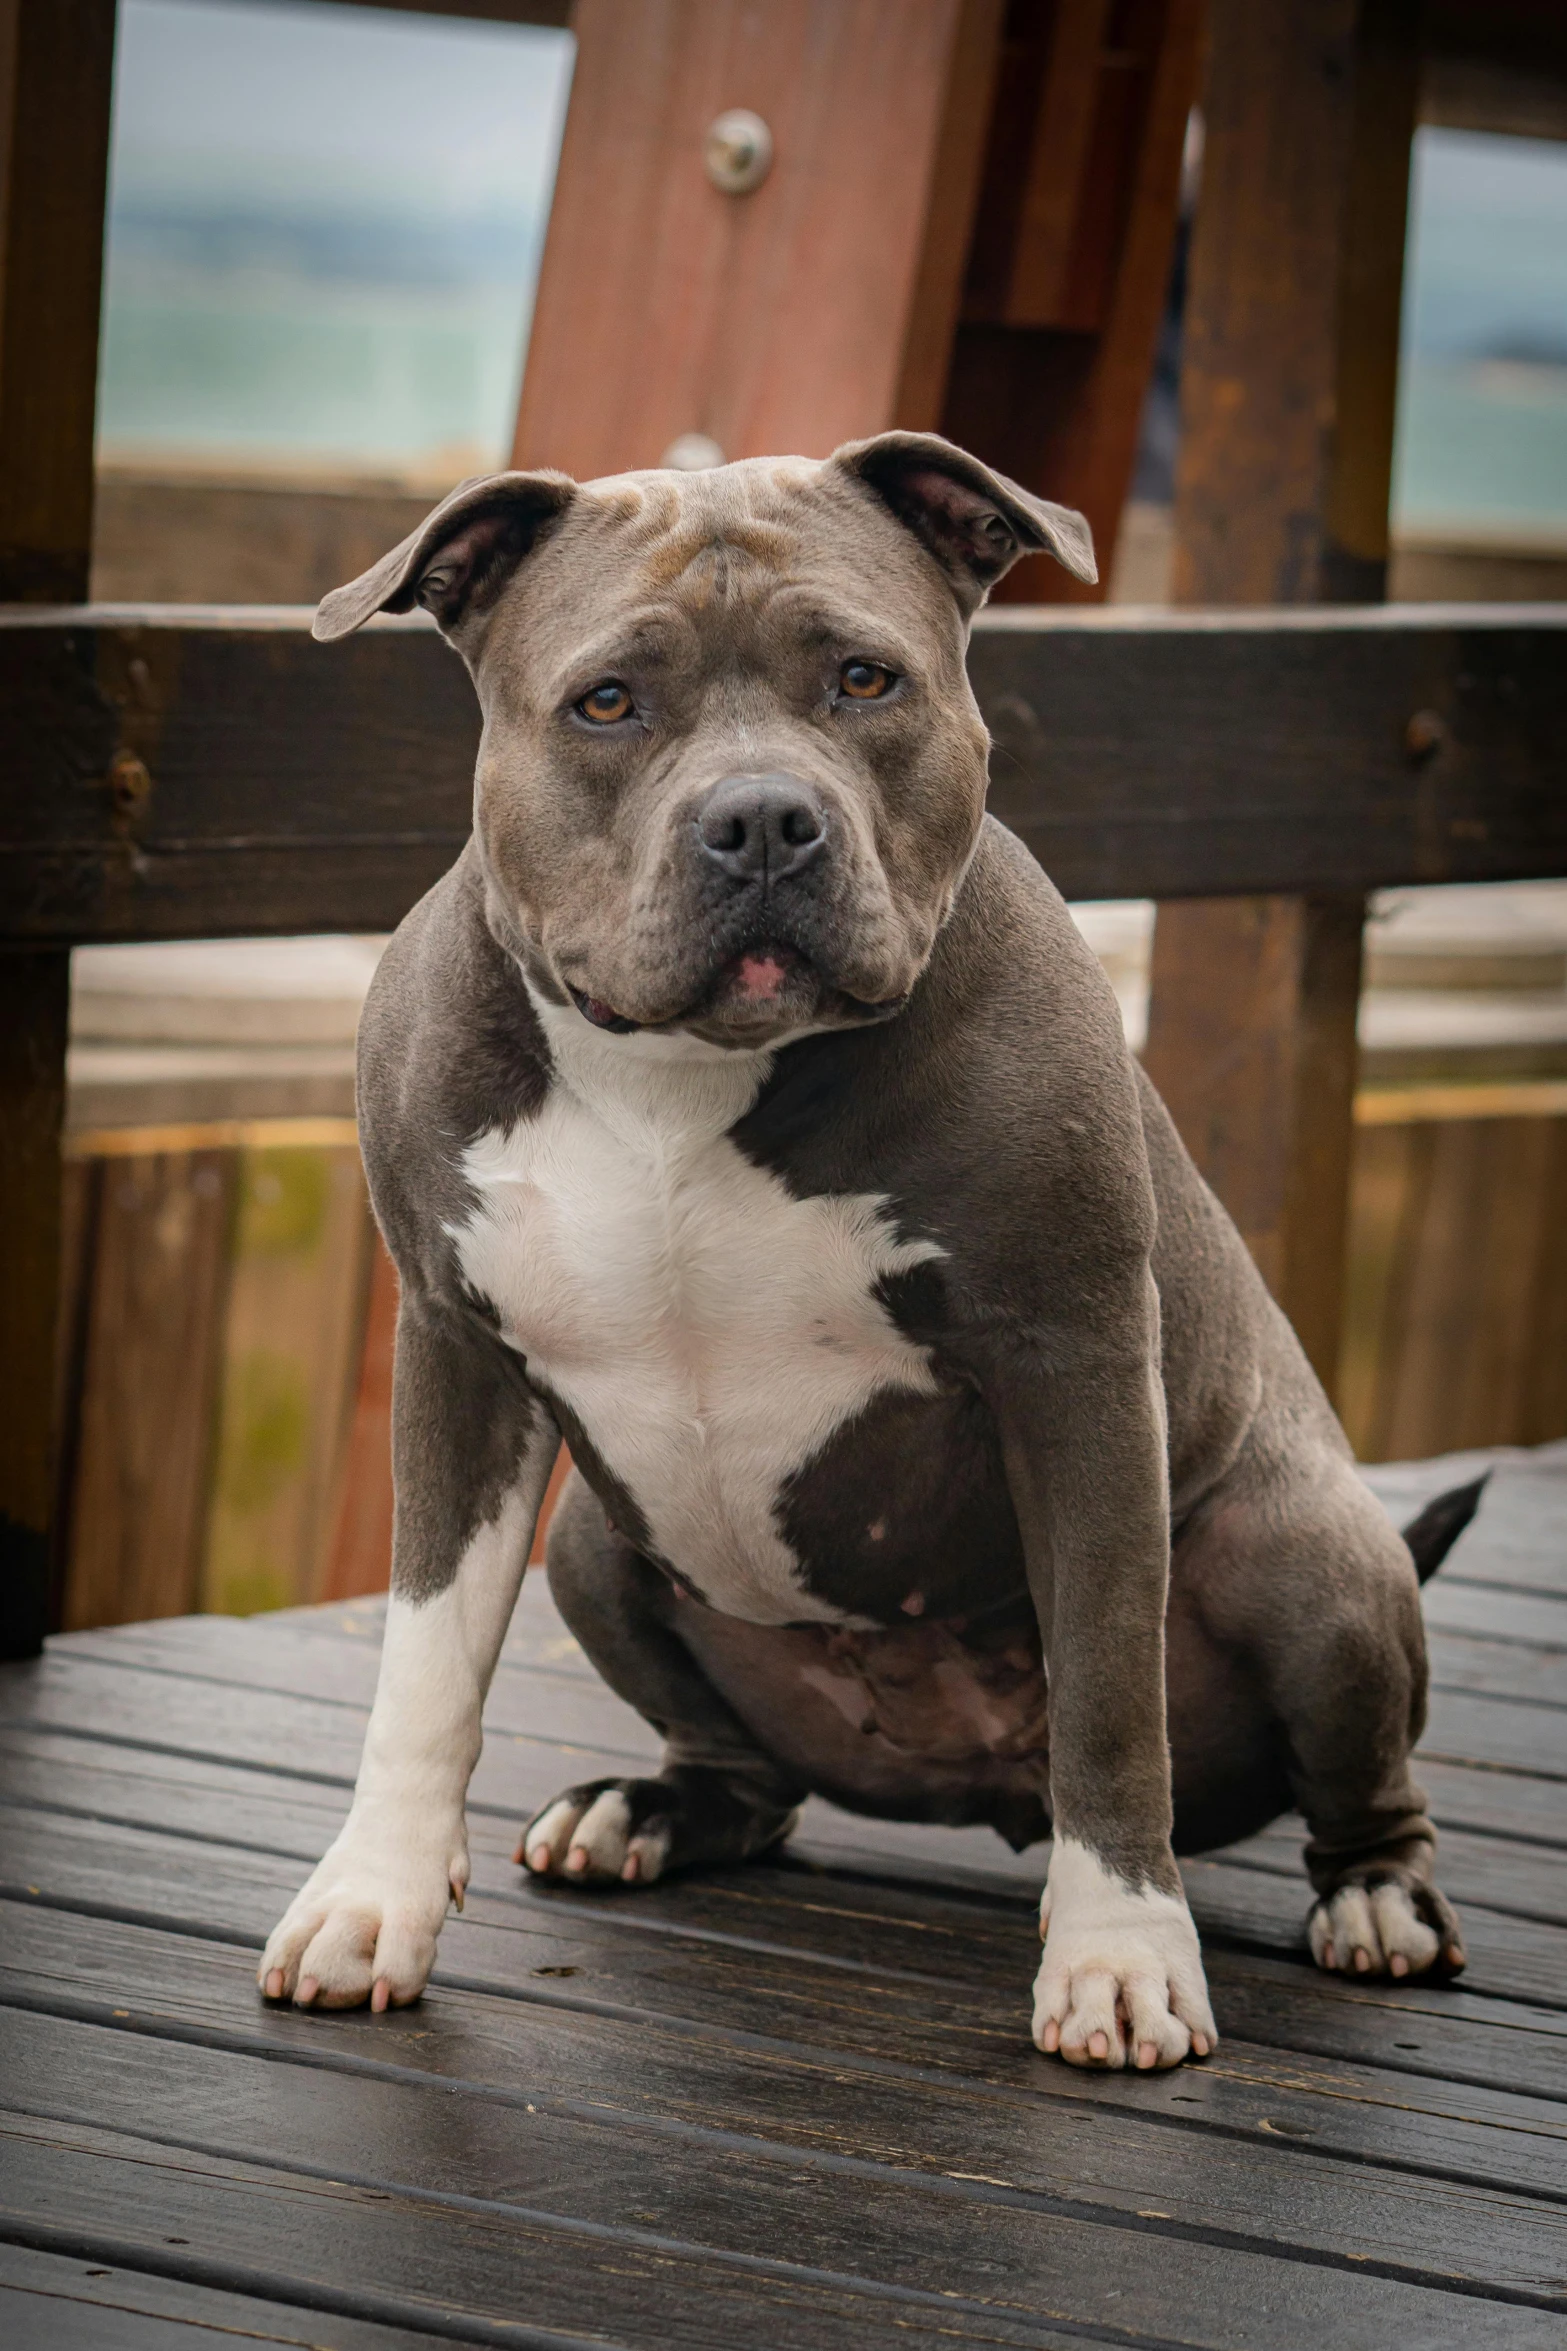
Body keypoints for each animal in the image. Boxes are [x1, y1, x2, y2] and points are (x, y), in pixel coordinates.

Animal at [257, 432, 1475, 2068]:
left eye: (861, 678)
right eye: (606, 700)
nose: (764, 817)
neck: (683, 1076)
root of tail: (967, 1780)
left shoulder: (1078, 1363)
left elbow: (1110, 1690)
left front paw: (1119, 1959)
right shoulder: (456, 1350)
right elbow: (425, 1662)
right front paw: (369, 1899)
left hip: (1311, 1562)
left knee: (1357, 1781)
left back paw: (1375, 1904)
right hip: (596, 1547)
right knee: (746, 1772)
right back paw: (648, 1807)